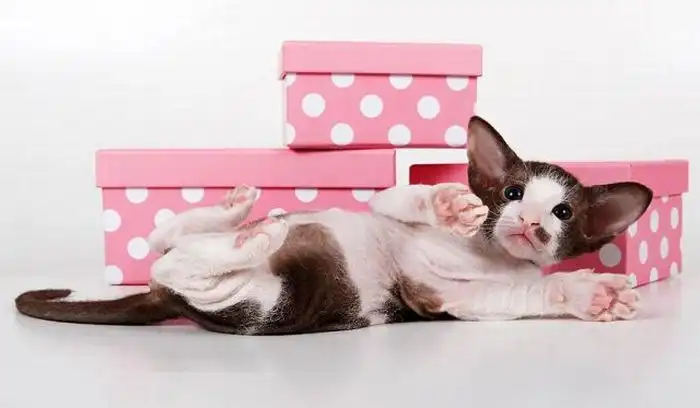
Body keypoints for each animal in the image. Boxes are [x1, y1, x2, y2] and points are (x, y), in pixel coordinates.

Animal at [15, 116, 653, 335]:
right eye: (511, 193)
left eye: (562, 214)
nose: (527, 221)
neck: (483, 253)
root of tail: (160, 300)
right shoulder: (389, 211)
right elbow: (401, 198)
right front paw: (448, 204)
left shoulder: (444, 301)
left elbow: (524, 292)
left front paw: (590, 292)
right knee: (164, 240)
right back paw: (242, 213)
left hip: (265, 301)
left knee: (182, 262)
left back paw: (253, 232)